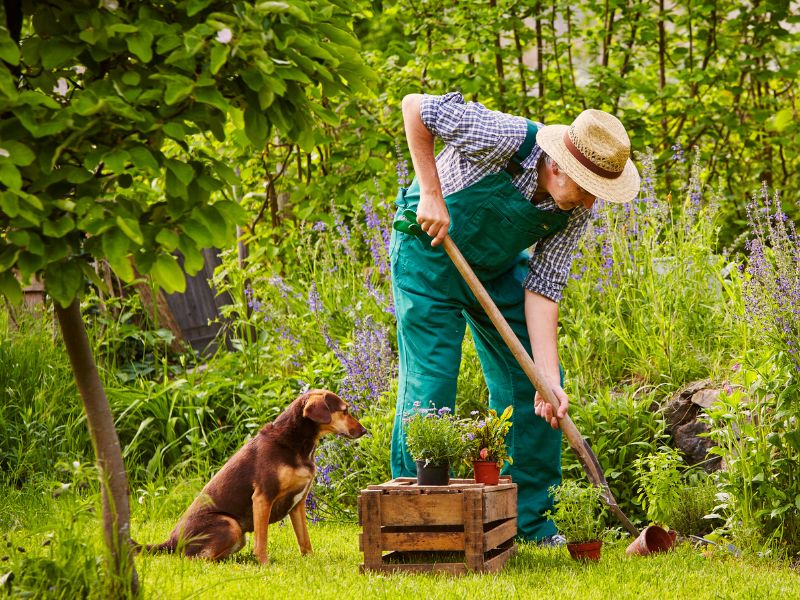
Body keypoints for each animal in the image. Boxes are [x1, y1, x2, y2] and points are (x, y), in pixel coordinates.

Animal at [144, 390, 366, 564]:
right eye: (345, 411)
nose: (364, 430)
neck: (294, 443)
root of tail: (170, 542)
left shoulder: (298, 504)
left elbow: (304, 539)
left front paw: (310, 560)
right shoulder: (262, 498)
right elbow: (262, 540)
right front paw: (264, 564)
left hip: (237, 535)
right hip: (230, 524)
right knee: (196, 559)